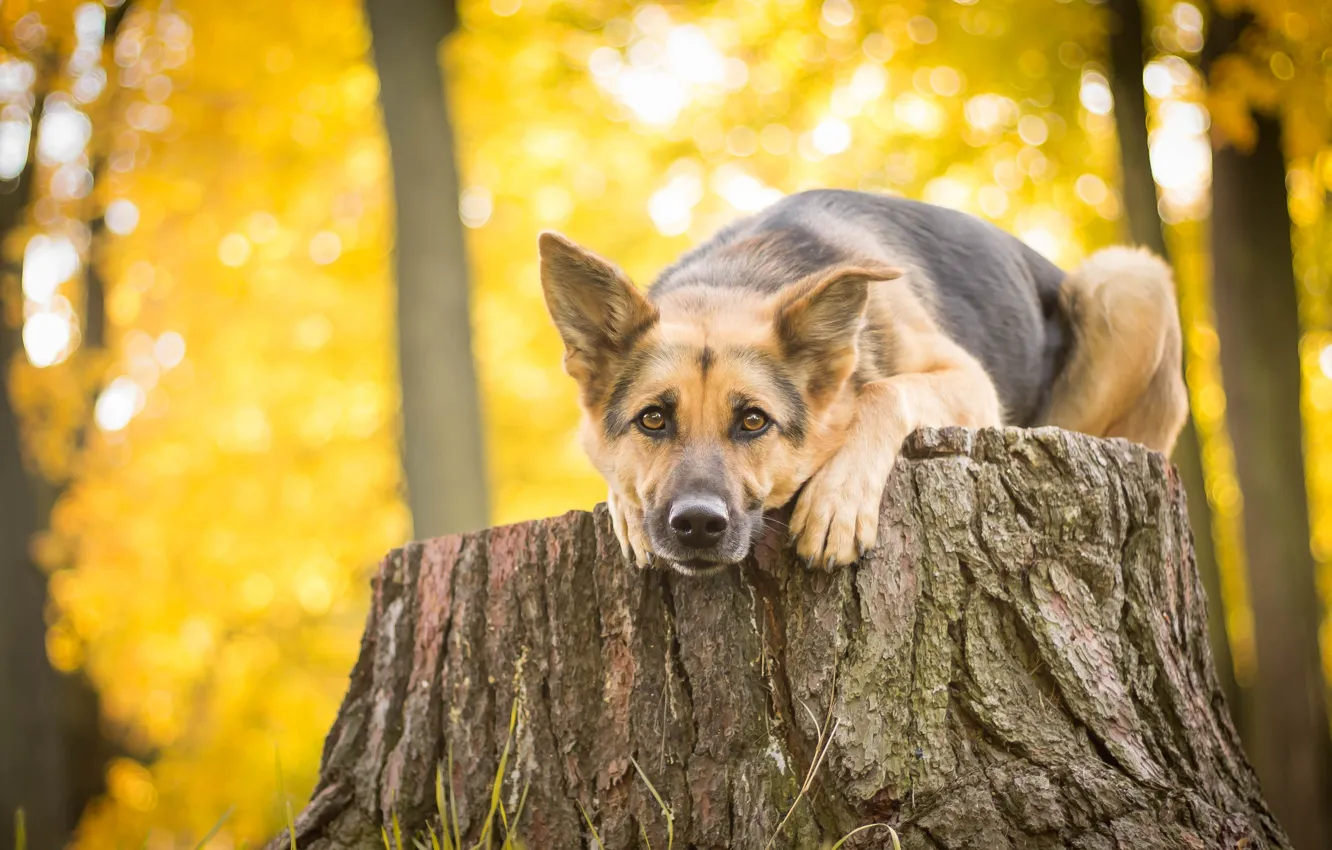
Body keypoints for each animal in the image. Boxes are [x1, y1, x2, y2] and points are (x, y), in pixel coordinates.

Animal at [538, 191, 1188, 580]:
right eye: (652, 419)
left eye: (753, 421)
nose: (697, 524)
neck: (736, 278)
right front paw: (625, 506)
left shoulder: (968, 381)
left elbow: (882, 391)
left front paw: (838, 499)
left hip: (1129, 280)